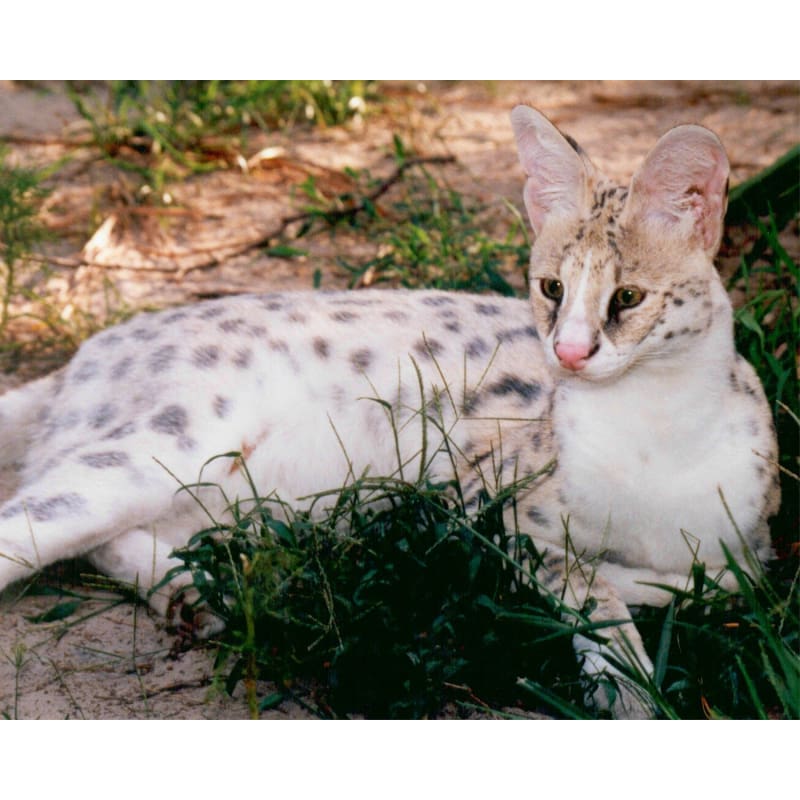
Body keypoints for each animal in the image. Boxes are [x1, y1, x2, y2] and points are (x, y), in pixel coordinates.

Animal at [0, 108, 780, 720]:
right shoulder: (481, 504)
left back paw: (201, 591)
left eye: (627, 298)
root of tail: (84, 352)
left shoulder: (753, 545)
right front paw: (629, 686)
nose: (567, 353)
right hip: (167, 443)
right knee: (33, 517)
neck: (655, 431)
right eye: (551, 288)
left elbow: (721, 582)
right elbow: (592, 589)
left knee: (107, 540)